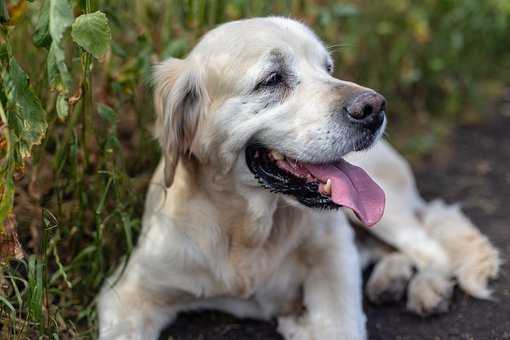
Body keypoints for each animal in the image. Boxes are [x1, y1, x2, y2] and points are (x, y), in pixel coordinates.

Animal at [97, 17, 500, 338]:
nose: (375, 107)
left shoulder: (334, 252)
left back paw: (428, 286)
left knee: (429, 246)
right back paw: (390, 278)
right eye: (272, 79)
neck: (246, 232)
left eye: (328, 67)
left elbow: (339, 324)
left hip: (384, 210)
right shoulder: (128, 292)